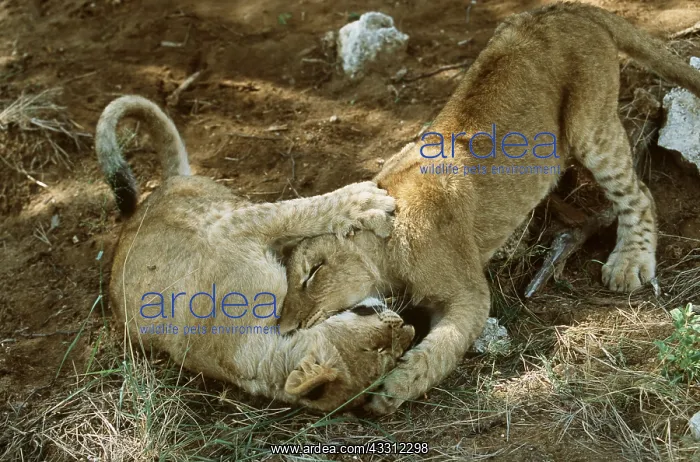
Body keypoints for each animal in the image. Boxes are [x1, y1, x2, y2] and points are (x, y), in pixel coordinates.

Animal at [98, 95, 414, 412]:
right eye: (381, 351)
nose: (407, 326)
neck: (260, 353)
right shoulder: (234, 229)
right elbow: (300, 211)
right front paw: (365, 200)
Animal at [279, 1, 700, 414]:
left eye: (312, 273)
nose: (284, 328)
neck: (389, 246)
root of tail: (566, 9)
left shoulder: (471, 295)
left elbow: (444, 345)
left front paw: (398, 385)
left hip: (591, 126)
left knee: (639, 193)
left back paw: (629, 263)